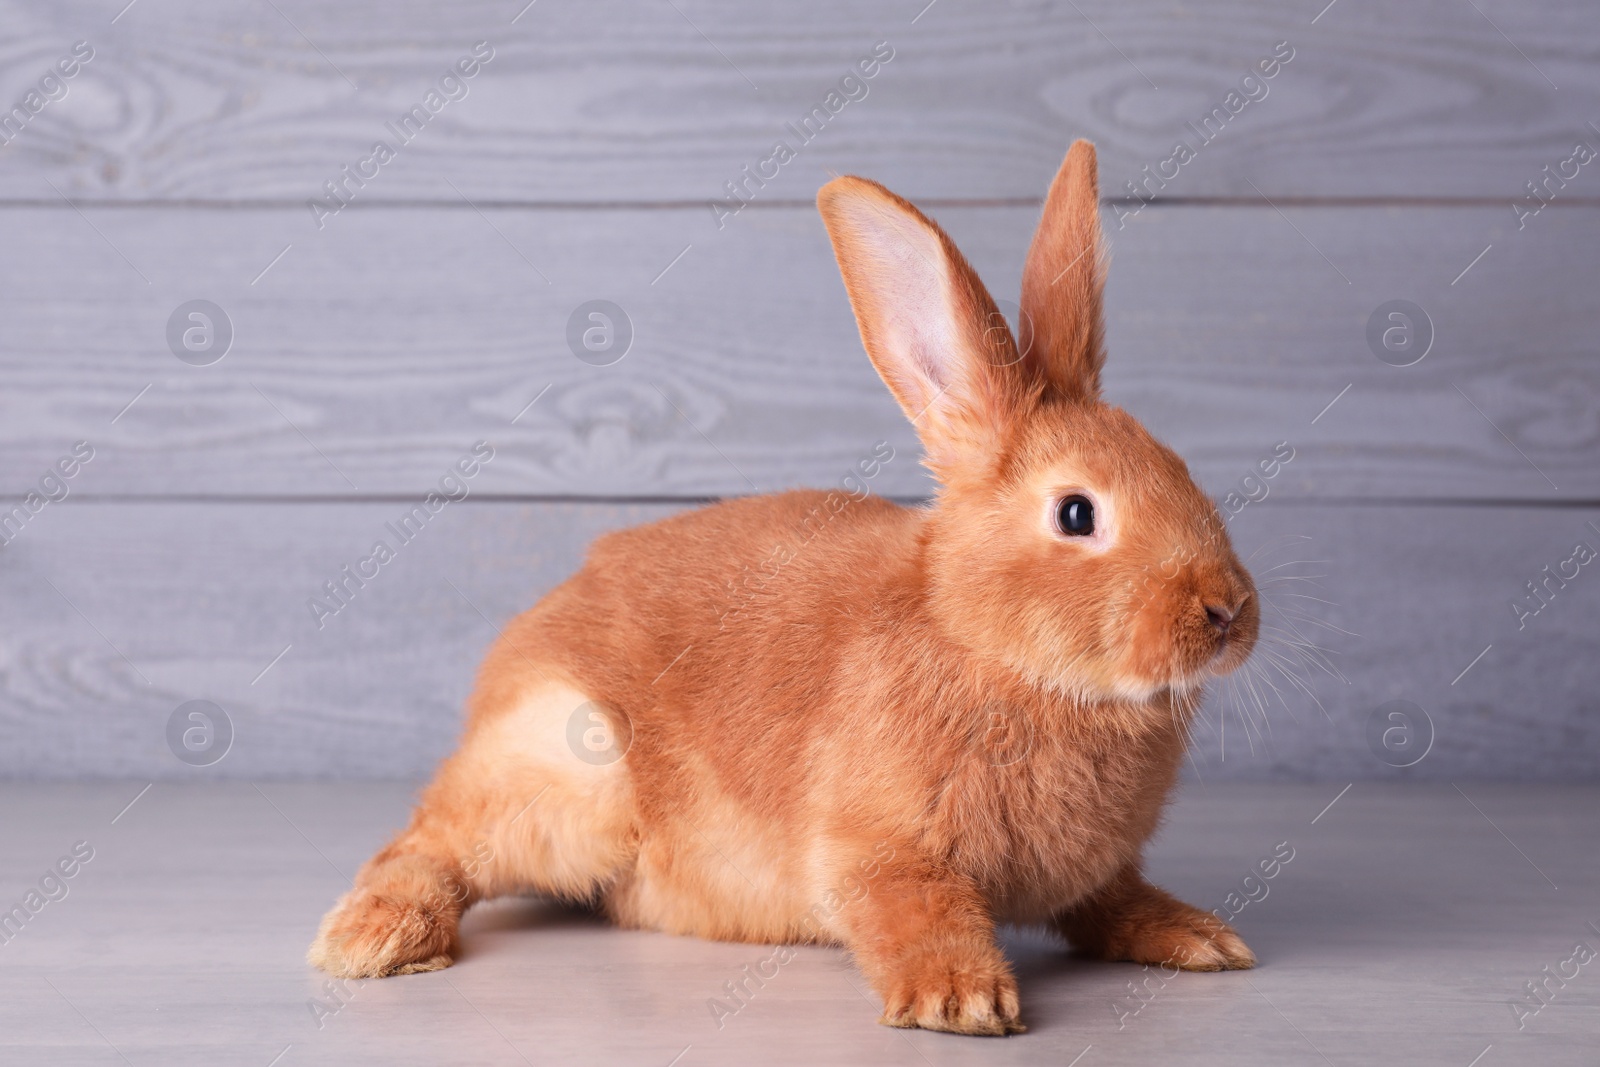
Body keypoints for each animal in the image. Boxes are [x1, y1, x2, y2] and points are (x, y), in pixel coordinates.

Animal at [308, 139, 1260, 1036]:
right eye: (1076, 513)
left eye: (1180, 467)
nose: (1229, 611)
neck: (985, 642)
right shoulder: (875, 848)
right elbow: (914, 910)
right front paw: (959, 999)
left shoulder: (1095, 876)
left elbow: (1114, 900)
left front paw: (1200, 938)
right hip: (573, 765)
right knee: (429, 841)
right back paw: (374, 941)